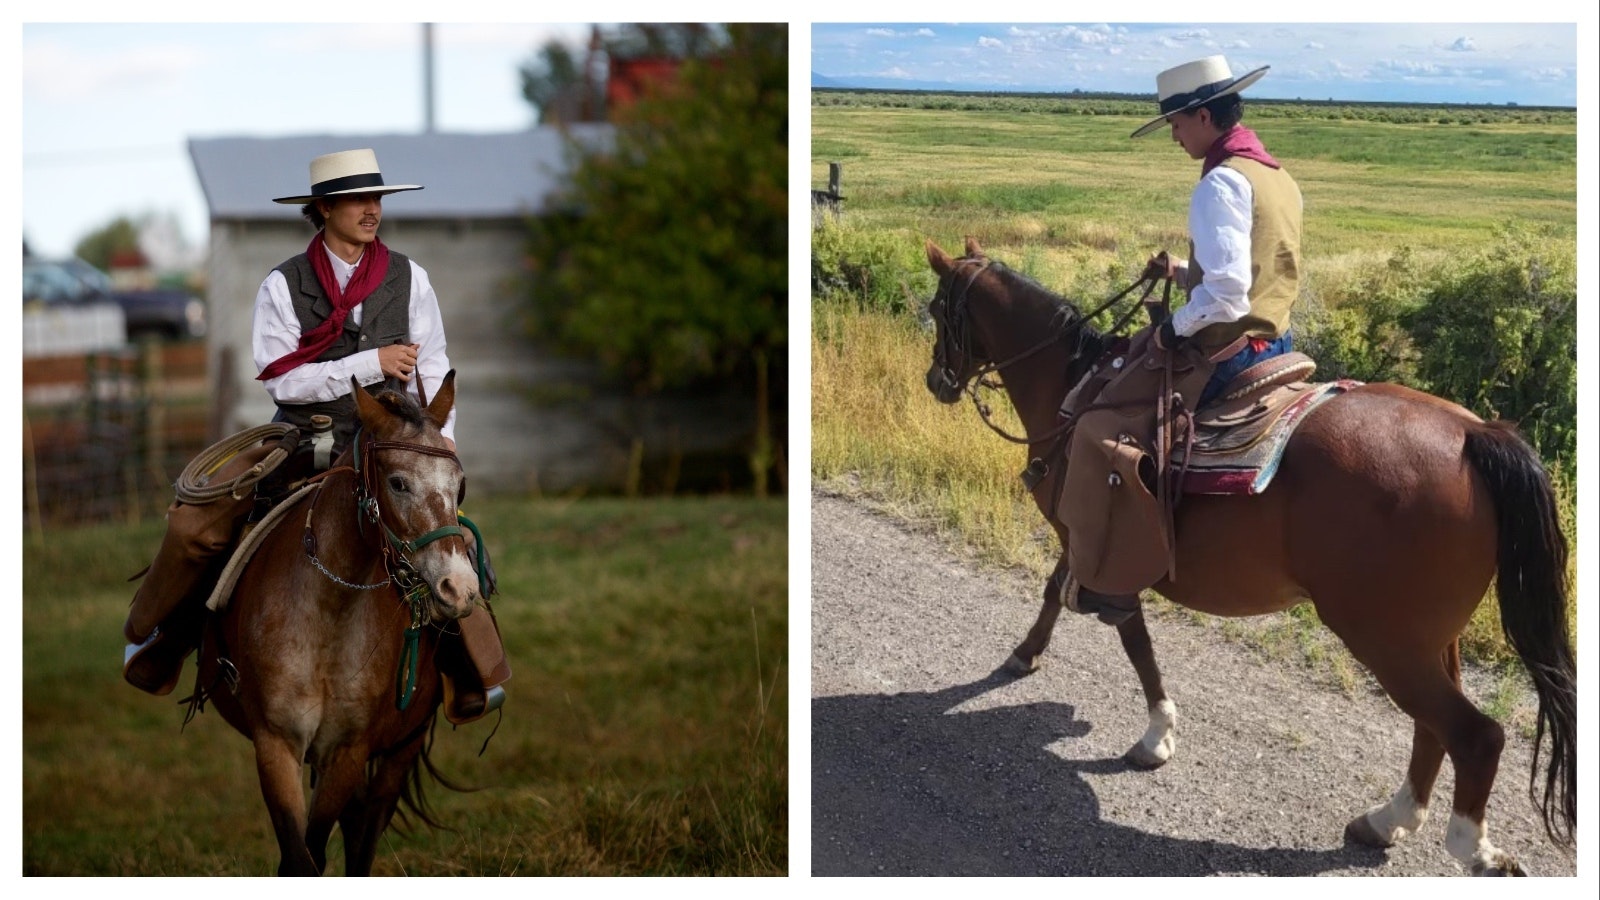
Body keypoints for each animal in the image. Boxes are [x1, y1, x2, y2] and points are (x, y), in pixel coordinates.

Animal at [194, 371, 480, 871]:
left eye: (458, 485)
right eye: (398, 483)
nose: (459, 589)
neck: (330, 611)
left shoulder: (347, 753)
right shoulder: (276, 745)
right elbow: (298, 860)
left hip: (399, 753)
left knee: (363, 833)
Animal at [928, 237, 1574, 871]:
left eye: (937, 310)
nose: (937, 381)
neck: (1074, 386)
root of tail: (1476, 435)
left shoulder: (1097, 534)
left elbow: (1131, 635)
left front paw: (1157, 733)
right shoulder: (1079, 534)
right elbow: (1057, 595)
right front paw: (1026, 655)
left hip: (1386, 640)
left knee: (1472, 735)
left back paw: (1472, 848)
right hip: (1432, 641)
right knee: (1432, 728)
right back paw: (1389, 819)